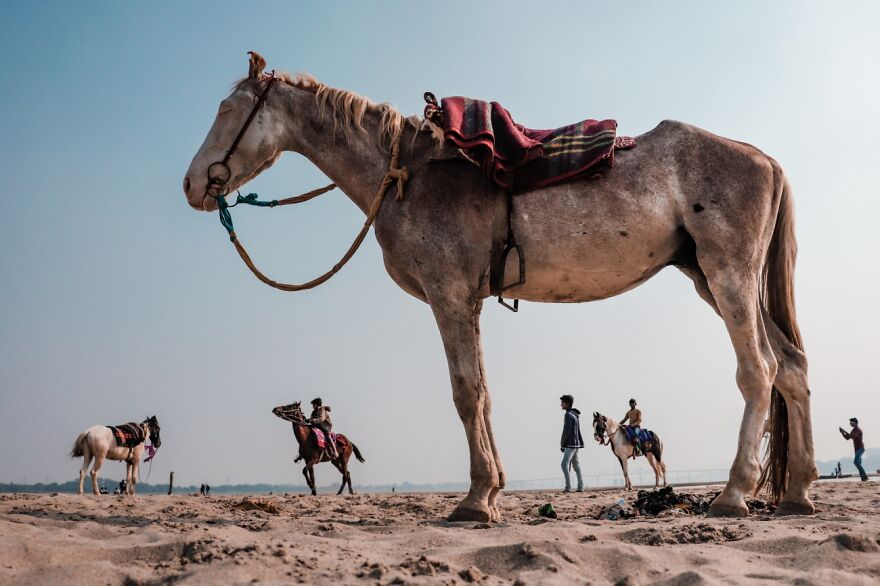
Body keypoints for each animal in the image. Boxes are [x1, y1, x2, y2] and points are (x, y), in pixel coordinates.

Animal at [184, 51, 817, 520]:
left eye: (227, 108)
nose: (192, 184)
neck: (407, 173)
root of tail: (764, 160)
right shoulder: (469, 300)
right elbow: (484, 392)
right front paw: (491, 492)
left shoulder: (448, 295)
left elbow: (465, 393)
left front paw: (473, 502)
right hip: (707, 275)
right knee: (790, 367)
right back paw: (797, 493)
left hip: (727, 273)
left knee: (758, 370)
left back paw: (734, 495)